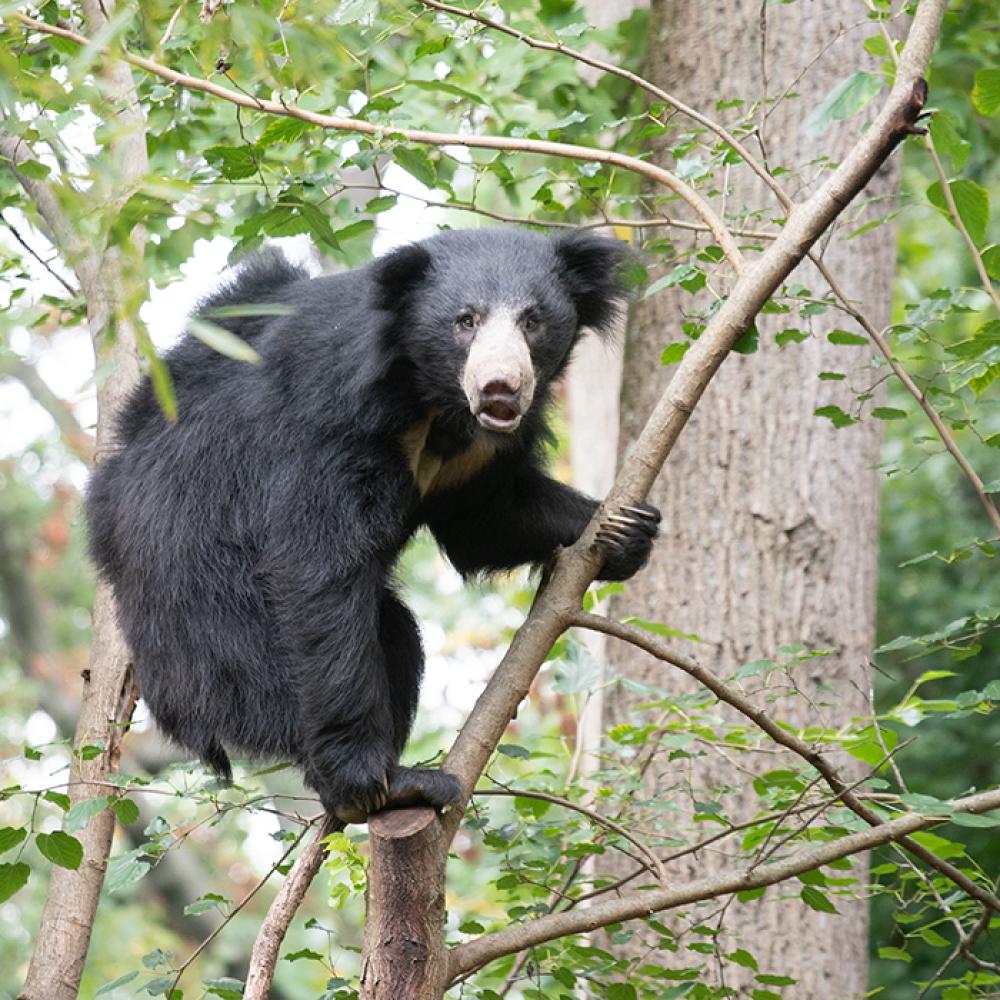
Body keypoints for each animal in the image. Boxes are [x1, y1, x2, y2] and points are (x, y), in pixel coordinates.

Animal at [88, 230, 656, 824]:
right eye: (465, 320)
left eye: (532, 321)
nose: (501, 389)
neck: (433, 399)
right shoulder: (332, 423)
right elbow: (317, 564)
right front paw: (360, 777)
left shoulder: (471, 458)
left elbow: (486, 515)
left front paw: (625, 530)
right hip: (203, 596)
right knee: (270, 667)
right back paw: (386, 785)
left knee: (396, 635)